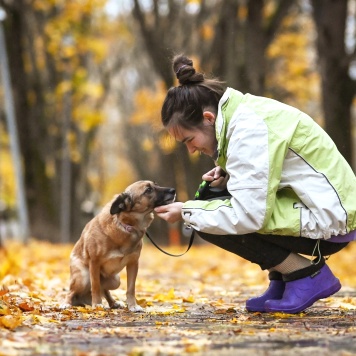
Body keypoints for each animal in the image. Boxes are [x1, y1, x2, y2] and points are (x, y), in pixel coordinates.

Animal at [60, 181, 175, 312]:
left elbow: (131, 288)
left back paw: (113, 303)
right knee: (71, 292)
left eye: (156, 184)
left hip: (116, 280)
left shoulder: (133, 263)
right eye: (148, 190)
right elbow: (95, 286)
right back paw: (66, 303)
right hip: (83, 277)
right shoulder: (94, 262)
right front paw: (97, 304)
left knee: (105, 290)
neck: (125, 225)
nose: (173, 190)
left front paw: (133, 306)